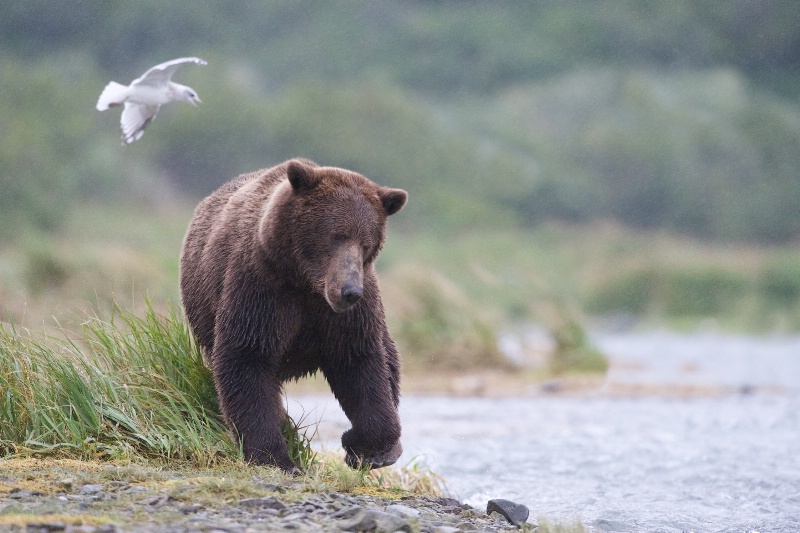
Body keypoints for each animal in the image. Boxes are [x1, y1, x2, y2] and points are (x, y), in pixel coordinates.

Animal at [180, 158, 406, 470]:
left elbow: (360, 365)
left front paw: (365, 448)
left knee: (389, 358)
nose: (349, 291)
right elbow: (247, 358)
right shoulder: (262, 289)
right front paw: (274, 455)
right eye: (335, 236)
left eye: (366, 243)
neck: (306, 282)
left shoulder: (342, 317)